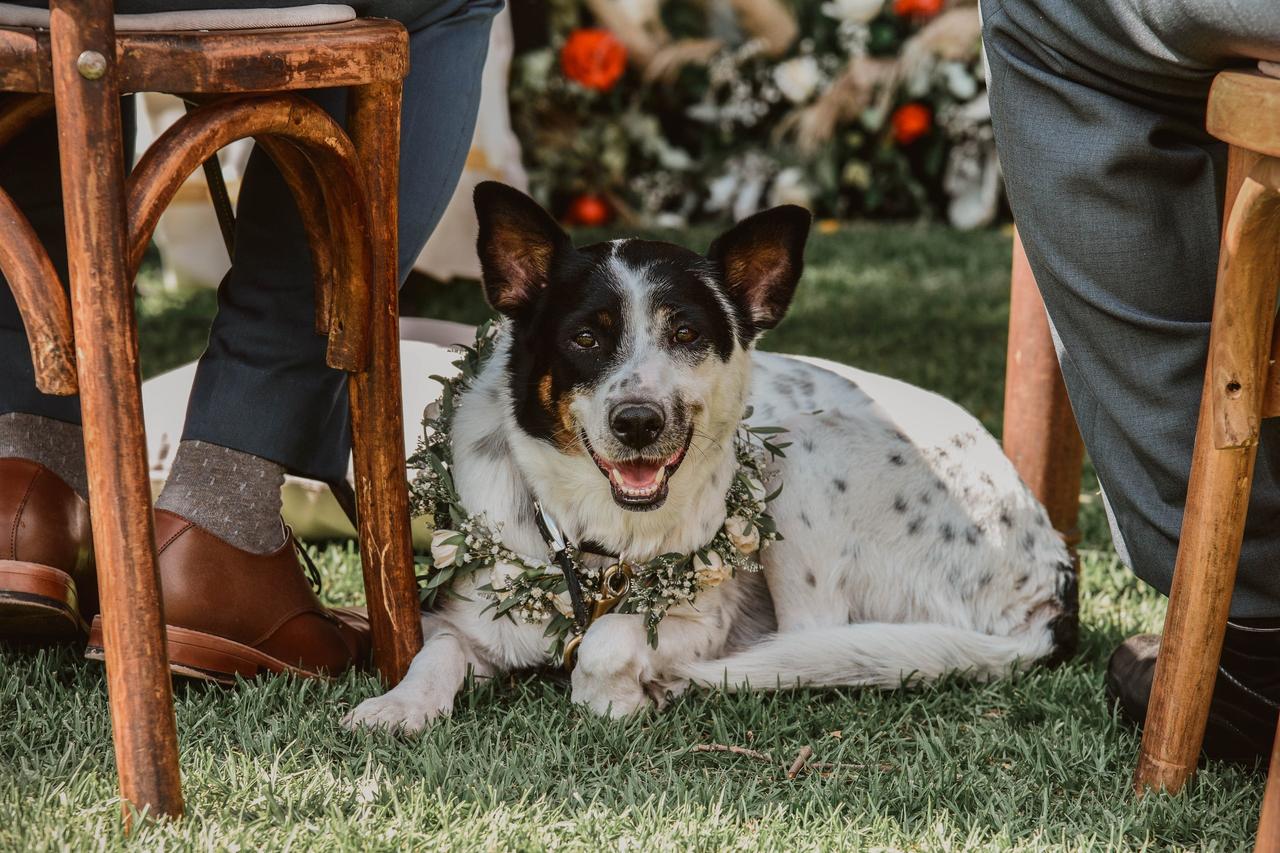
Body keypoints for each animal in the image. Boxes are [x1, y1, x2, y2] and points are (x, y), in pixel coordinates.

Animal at [345, 183, 1075, 727]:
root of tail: (1053, 576)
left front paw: (620, 692)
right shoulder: (470, 620)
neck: (596, 544)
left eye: (687, 333)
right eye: (585, 337)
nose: (638, 421)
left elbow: (610, 641)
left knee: (809, 636)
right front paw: (398, 705)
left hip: (800, 454)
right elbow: (432, 651)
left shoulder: (702, 617)